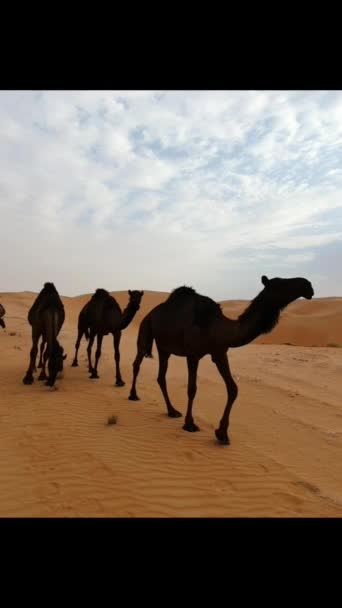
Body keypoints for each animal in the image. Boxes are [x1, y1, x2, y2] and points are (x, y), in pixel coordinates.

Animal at [129, 274, 316, 442]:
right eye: (279, 283)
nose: (308, 285)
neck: (217, 327)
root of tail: (150, 313)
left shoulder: (219, 353)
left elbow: (233, 388)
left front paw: (222, 433)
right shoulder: (193, 355)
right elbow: (192, 389)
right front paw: (190, 424)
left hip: (164, 348)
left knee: (161, 377)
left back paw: (171, 411)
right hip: (148, 332)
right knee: (140, 363)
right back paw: (135, 396)